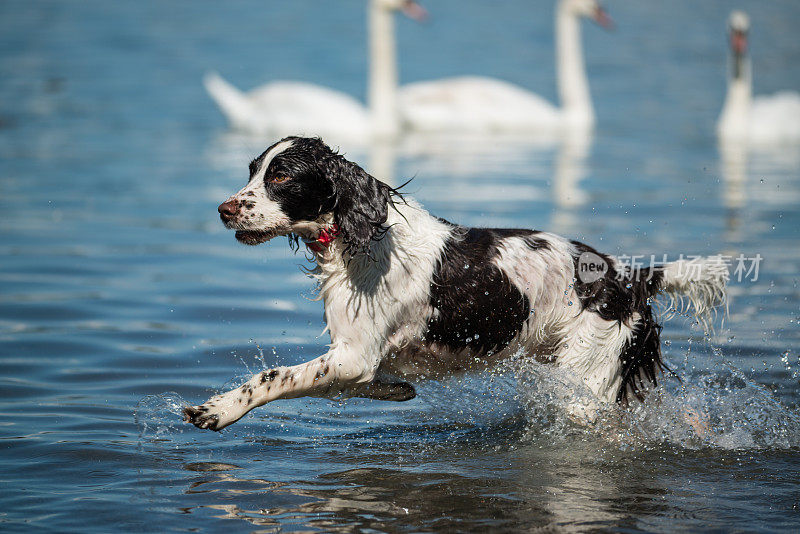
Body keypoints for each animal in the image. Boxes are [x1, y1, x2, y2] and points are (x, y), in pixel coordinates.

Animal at [183, 137, 732, 432]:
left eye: (281, 177)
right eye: (253, 171)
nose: (224, 209)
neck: (362, 239)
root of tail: (632, 276)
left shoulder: (352, 356)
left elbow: (271, 377)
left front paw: (216, 409)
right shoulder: (365, 361)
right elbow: (375, 384)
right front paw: (398, 390)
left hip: (585, 380)